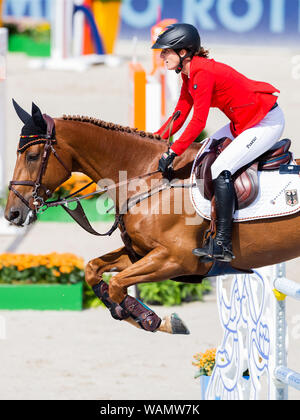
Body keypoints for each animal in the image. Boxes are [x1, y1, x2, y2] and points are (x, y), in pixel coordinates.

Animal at [5, 104, 300, 334]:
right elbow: (94, 271)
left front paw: (156, 320)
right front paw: (152, 319)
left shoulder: (175, 259)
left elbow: (117, 286)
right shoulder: (142, 252)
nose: (12, 213)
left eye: (32, 156)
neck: (146, 178)